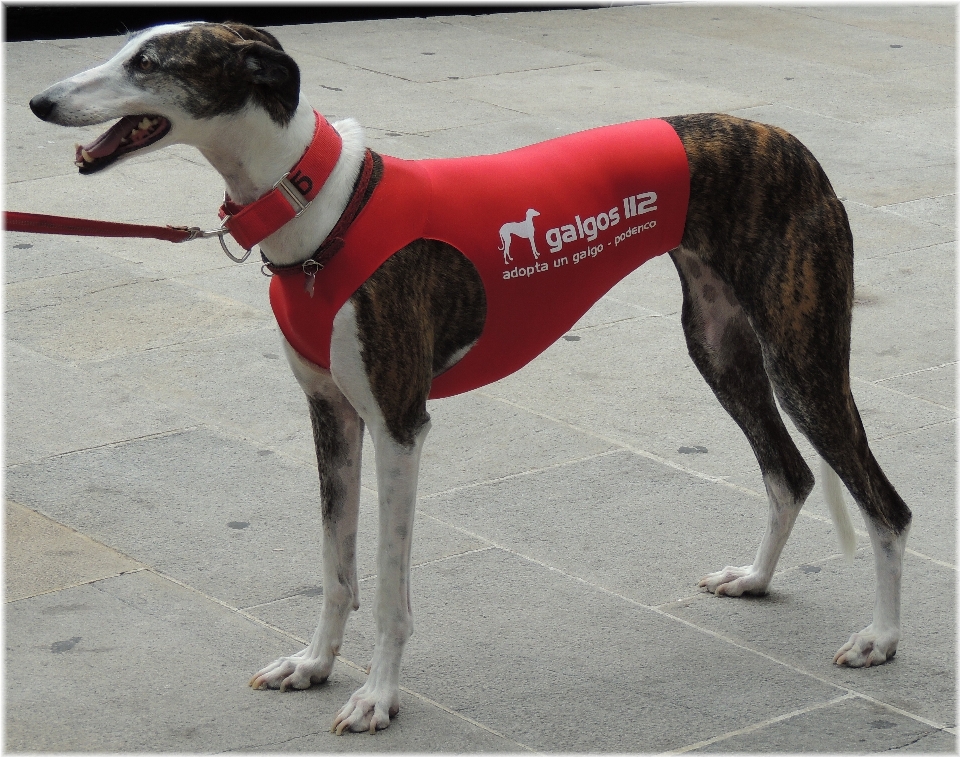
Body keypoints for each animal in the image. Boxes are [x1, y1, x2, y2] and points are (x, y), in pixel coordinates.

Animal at [26, 22, 912, 732]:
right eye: (124, 46)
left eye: (149, 61)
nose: (37, 101)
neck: (321, 209)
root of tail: (788, 140)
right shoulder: (330, 416)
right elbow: (335, 566)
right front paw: (314, 665)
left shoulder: (398, 424)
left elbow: (388, 584)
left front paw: (377, 697)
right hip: (720, 345)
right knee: (789, 471)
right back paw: (756, 578)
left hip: (801, 358)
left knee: (885, 505)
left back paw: (881, 638)